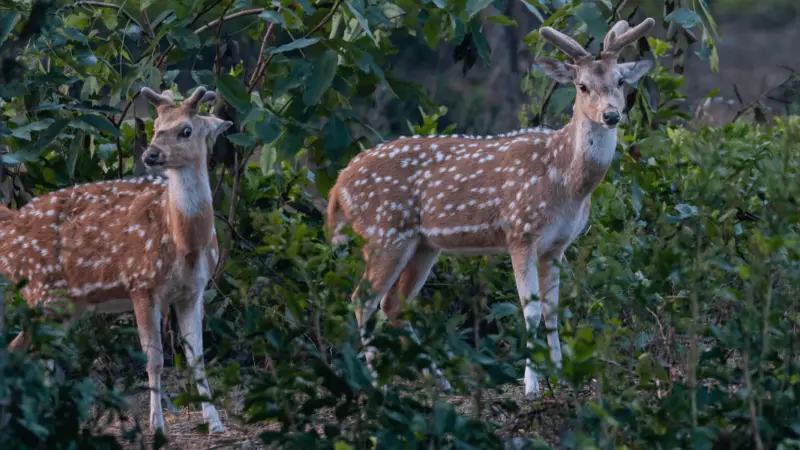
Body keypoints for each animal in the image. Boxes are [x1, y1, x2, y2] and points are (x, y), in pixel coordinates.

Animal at [3, 86, 233, 434]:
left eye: (186, 130)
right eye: (155, 126)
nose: (151, 155)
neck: (184, 242)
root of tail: (9, 228)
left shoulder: (193, 291)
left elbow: (197, 358)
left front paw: (216, 424)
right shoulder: (141, 283)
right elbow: (155, 359)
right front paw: (157, 425)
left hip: (66, 303)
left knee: (34, 353)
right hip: (40, 290)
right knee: (20, 350)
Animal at [326, 18, 656, 398]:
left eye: (620, 81)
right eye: (582, 85)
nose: (611, 115)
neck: (565, 182)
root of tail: (339, 184)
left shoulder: (557, 245)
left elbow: (552, 311)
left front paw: (560, 374)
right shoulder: (521, 232)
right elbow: (530, 312)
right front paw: (531, 385)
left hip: (422, 245)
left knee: (392, 304)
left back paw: (441, 381)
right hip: (384, 232)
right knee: (361, 299)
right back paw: (377, 383)